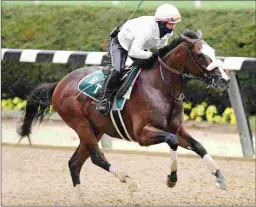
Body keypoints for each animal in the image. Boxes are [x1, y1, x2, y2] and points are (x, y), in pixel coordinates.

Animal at [17, 29, 230, 202]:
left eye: (214, 52)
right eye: (201, 55)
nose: (224, 80)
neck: (160, 86)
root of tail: (59, 84)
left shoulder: (176, 128)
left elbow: (198, 145)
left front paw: (220, 177)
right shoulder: (142, 134)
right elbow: (172, 141)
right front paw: (171, 179)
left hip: (95, 129)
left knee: (75, 163)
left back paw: (81, 199)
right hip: (80, 123)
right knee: (97, 157)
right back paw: (130, 182)